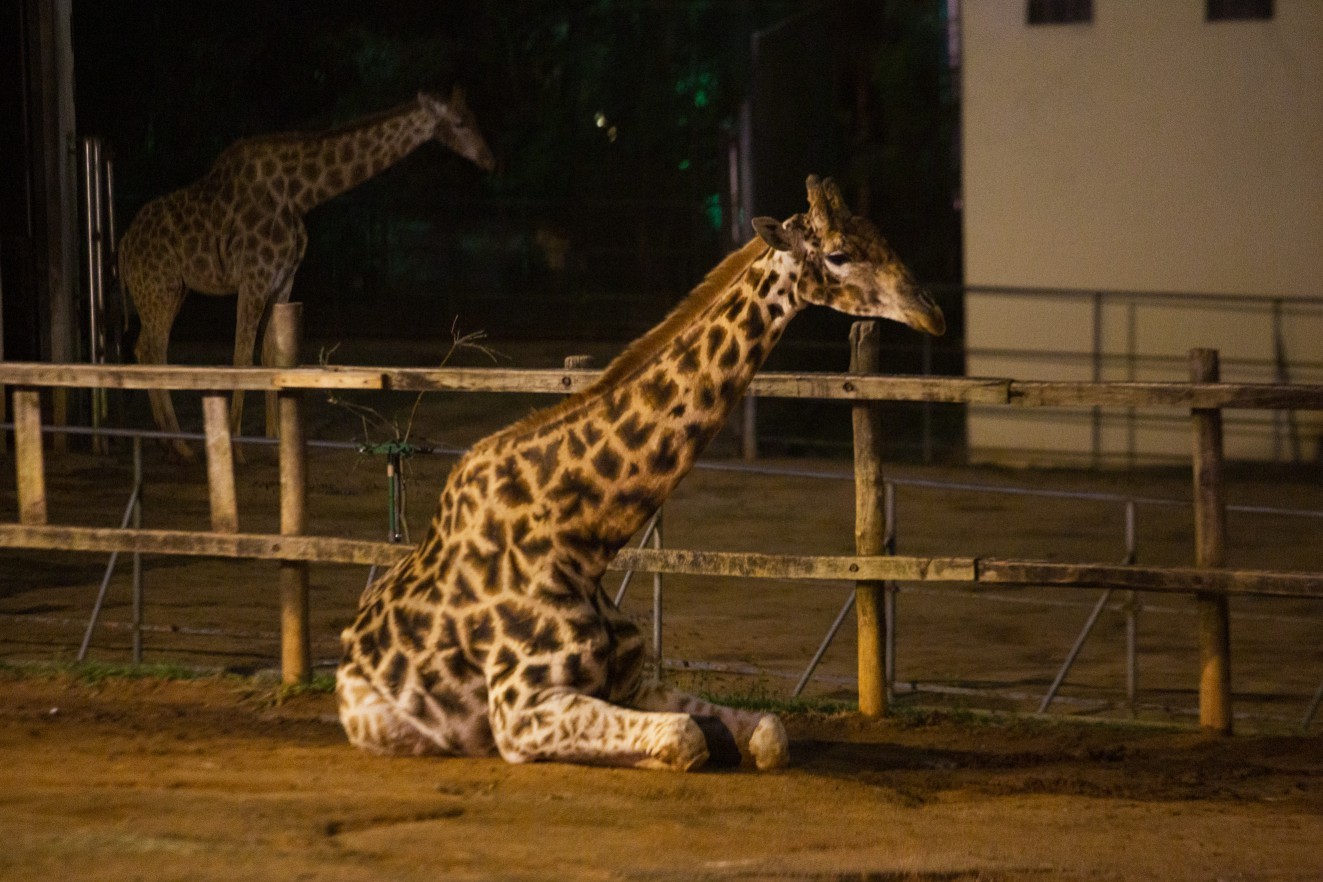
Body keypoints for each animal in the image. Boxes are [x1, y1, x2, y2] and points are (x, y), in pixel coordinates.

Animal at [120, 88, 497, 462]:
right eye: (460, 122)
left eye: (474, 118)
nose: (489, 160)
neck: (299, 194)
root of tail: (122, 250)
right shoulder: (254, 277)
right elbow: (242, 357)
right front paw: (238, 446)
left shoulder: (282, 280)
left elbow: (270, 358)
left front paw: (275, 439)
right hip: (157, 287)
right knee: (153, 350)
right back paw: (178, 444)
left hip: (172, 290)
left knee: (147, 348)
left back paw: (168, 442)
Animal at [336, 175, 947, 766]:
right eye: (839, 254)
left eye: (881, 235)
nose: (933, 313)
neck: (581, 540)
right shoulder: (521, 709)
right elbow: (685, 738)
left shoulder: (632, 683)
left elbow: (769, 733)